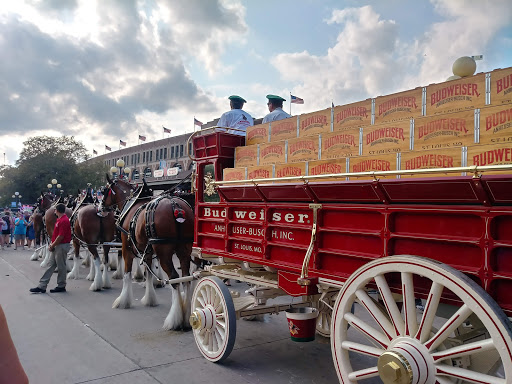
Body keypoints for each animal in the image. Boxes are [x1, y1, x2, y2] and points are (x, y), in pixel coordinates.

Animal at [99, 174, 195, 330]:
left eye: (105, 190)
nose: (100, 207)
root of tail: (176, 206)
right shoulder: (148, 252)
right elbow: (149, 273)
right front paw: (150, 298)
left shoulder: (126, 247)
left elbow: (127, 274)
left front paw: (123, 300)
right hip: (184, 251)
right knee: (185, 278)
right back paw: (186, 317)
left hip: (164, 253)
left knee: (174, 279)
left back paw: (174, 319)